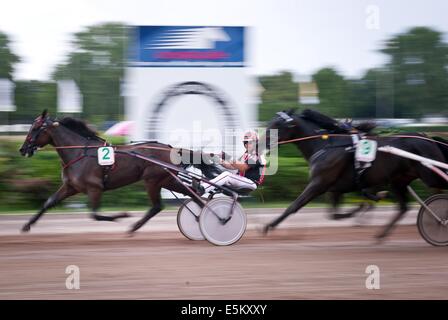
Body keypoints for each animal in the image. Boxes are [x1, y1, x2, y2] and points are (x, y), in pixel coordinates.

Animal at [262, 109, 448, 240]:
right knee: (403, 207)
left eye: (276, 126)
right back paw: (381, 235)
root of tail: (428, 137)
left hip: (430, 176)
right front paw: (365, 204)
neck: (326, 145)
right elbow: (334, 215)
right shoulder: (334, 188)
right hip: (399, 180)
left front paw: (268, 226)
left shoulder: (319, 183)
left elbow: (295, 205)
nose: (259, 141)